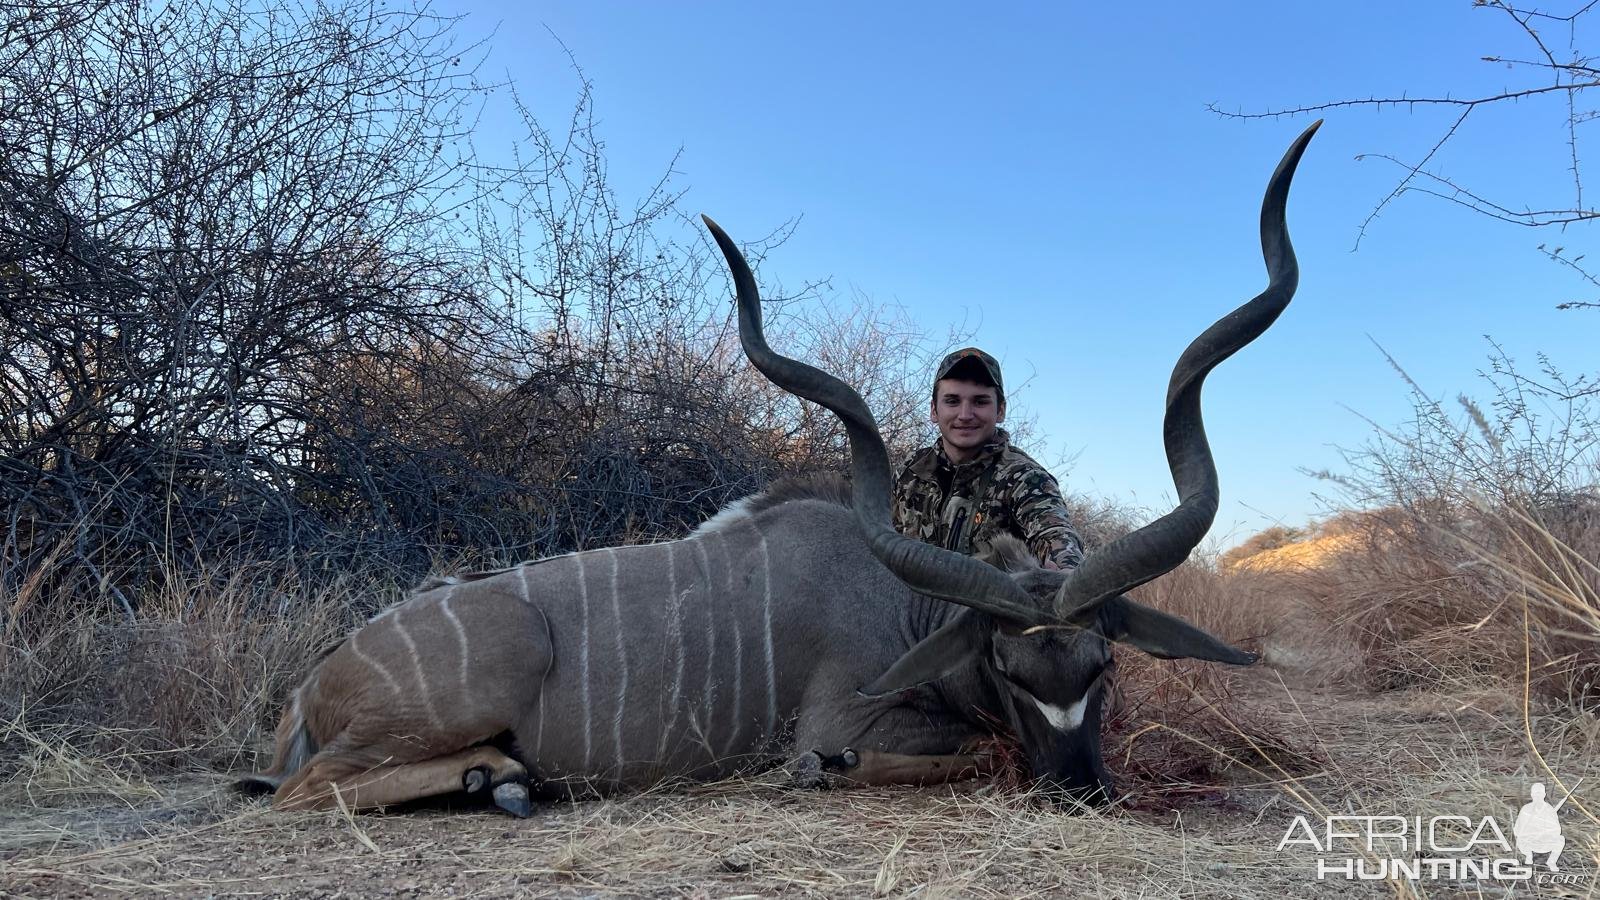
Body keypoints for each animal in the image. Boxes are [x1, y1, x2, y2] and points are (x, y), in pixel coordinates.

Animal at [233, 120, 1312, 813]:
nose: (1080, 789)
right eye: (1006, 667)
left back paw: (494, 779)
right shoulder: (846, 718)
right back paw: (496, 778)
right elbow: (947, 751)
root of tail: (315, 684)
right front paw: (820, 773)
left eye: (1106, 661)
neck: (905, 609)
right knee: (299, 792)